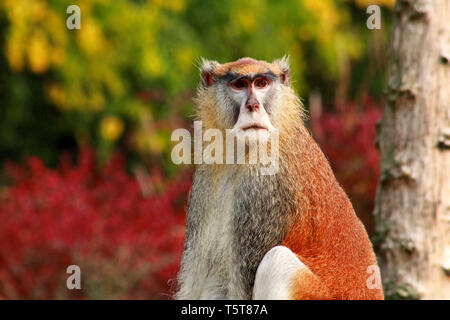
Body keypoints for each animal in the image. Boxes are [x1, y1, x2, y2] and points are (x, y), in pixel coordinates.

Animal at [176, 56, 384, 298]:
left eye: (261, 84)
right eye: (239, 85)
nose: (253, 106)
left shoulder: (264, 187)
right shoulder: (207, 179)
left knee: (277, 260)